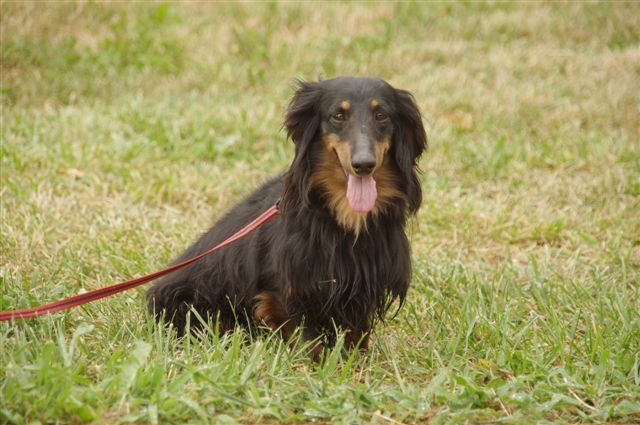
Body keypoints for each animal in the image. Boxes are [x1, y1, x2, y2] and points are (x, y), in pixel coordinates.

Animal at [148, 76, 428, 354]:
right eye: (338, 115)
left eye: (381, 115)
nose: (363, 165)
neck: (345, 216)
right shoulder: (287, 292)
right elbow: (307, 337)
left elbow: (355, 335)